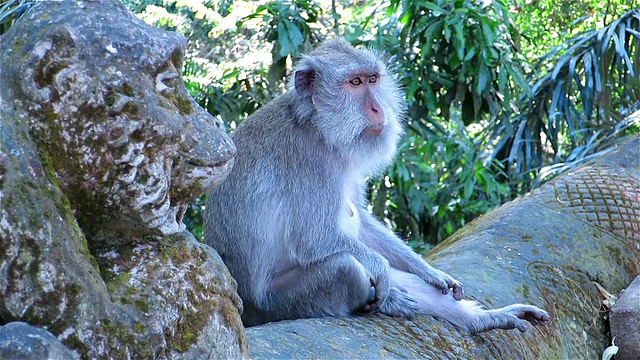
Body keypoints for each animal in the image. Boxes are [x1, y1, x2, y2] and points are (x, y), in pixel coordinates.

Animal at [206, 38, 552, 334]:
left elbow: (362, 223)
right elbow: (314, 238)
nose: (378, 109)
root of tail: (246, 313)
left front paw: (431, 273)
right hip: (276, 304)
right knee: (347, 267)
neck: (317, 124)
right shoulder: (305, 158)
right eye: (354, 83)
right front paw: (384, 277)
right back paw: (385, 299)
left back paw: (483, 319)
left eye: (373, 79)